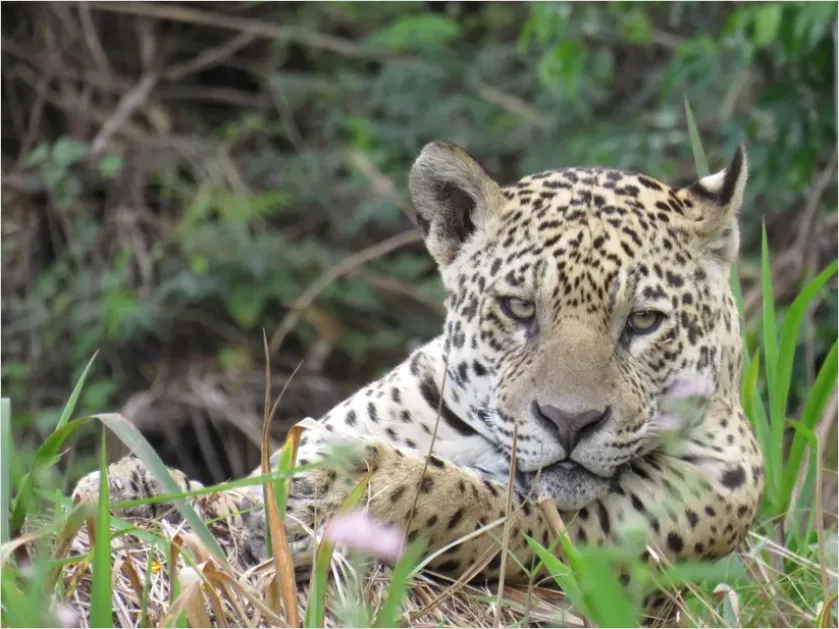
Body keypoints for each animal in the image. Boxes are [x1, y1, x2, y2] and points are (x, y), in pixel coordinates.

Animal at [72, 140, 765, 619]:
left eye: (643, 321)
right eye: (519, 308)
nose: (569, 422)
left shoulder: (646, 524)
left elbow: (491, 505)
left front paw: (337, 486)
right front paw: (130, 487)